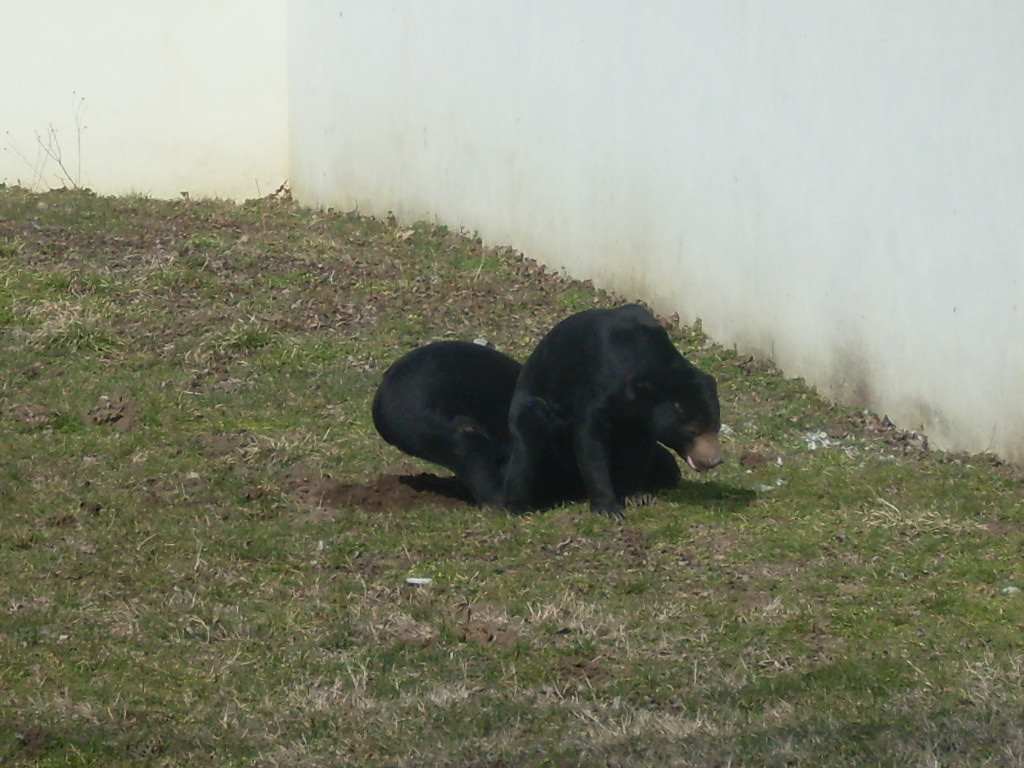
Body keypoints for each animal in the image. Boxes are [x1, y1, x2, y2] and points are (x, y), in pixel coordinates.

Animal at [502, 303, 722, 519]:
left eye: (716, 427)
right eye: (692, 431)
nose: (714, 460)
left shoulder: (643, 417)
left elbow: (638, 449)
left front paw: (637, 496)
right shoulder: (599, 385)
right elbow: (590, 440)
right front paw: (609, 509)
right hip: (533, 407)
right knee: (527, 443)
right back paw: (518, 508)